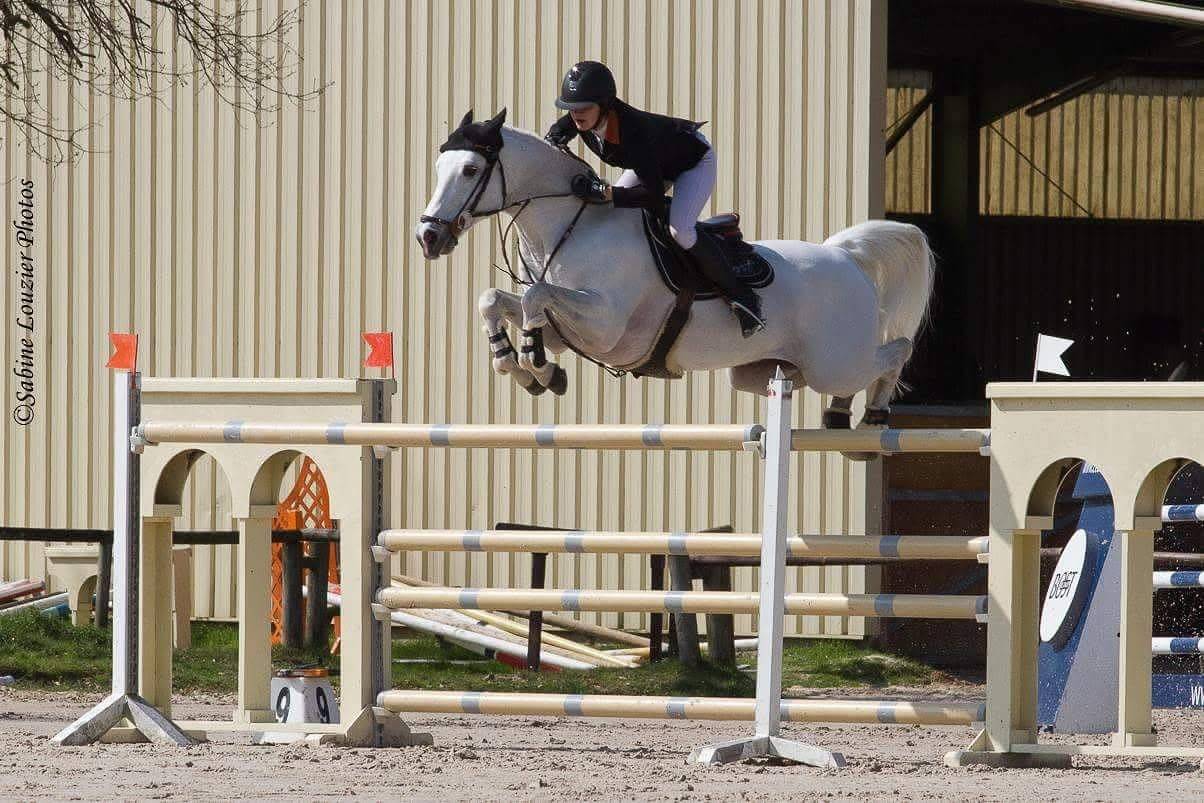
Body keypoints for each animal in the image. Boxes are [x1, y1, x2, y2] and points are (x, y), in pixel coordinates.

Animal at [415, 109, 934, 428]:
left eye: (469, 170)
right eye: (439, 166)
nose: (428, 237)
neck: (571, 223)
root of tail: (845, 257)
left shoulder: (605, 327)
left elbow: (533, 297)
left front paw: (536, 365)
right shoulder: (569, 332)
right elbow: (497, 300)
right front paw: (519, 365)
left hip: (835, 363)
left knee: (896, 351)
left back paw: (868, 415)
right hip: (765, 370)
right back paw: (843, 415)